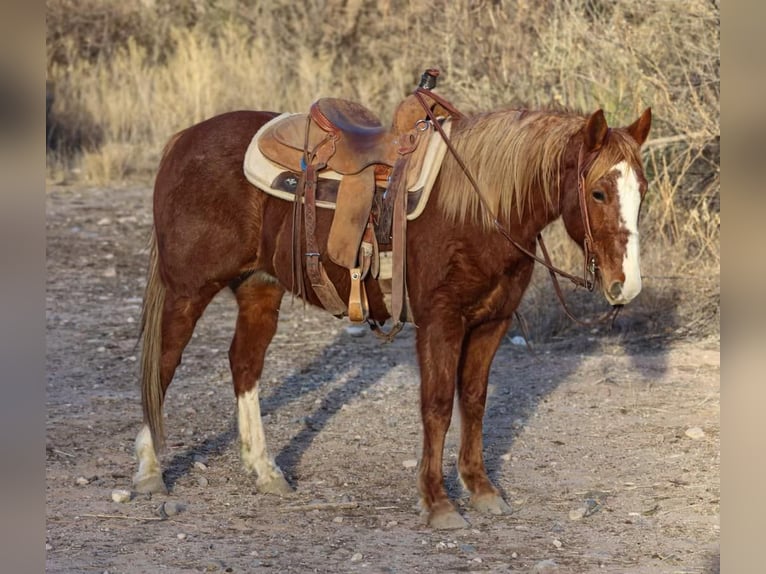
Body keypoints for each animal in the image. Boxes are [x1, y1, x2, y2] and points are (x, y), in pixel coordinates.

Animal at [134, 100, 656, 532]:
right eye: (598, 193)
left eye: (642, 190)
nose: (625, 286)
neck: (478, 209)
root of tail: (184, 139)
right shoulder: (440, 321)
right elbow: (438, 406)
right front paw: (438, 502)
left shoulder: (492, 322)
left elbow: (475, 401)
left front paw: (482, 489)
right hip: (187, 291)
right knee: (163, 365)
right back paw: (149, 471)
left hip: (258, 287)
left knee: (245, 364)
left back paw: (265, 472)